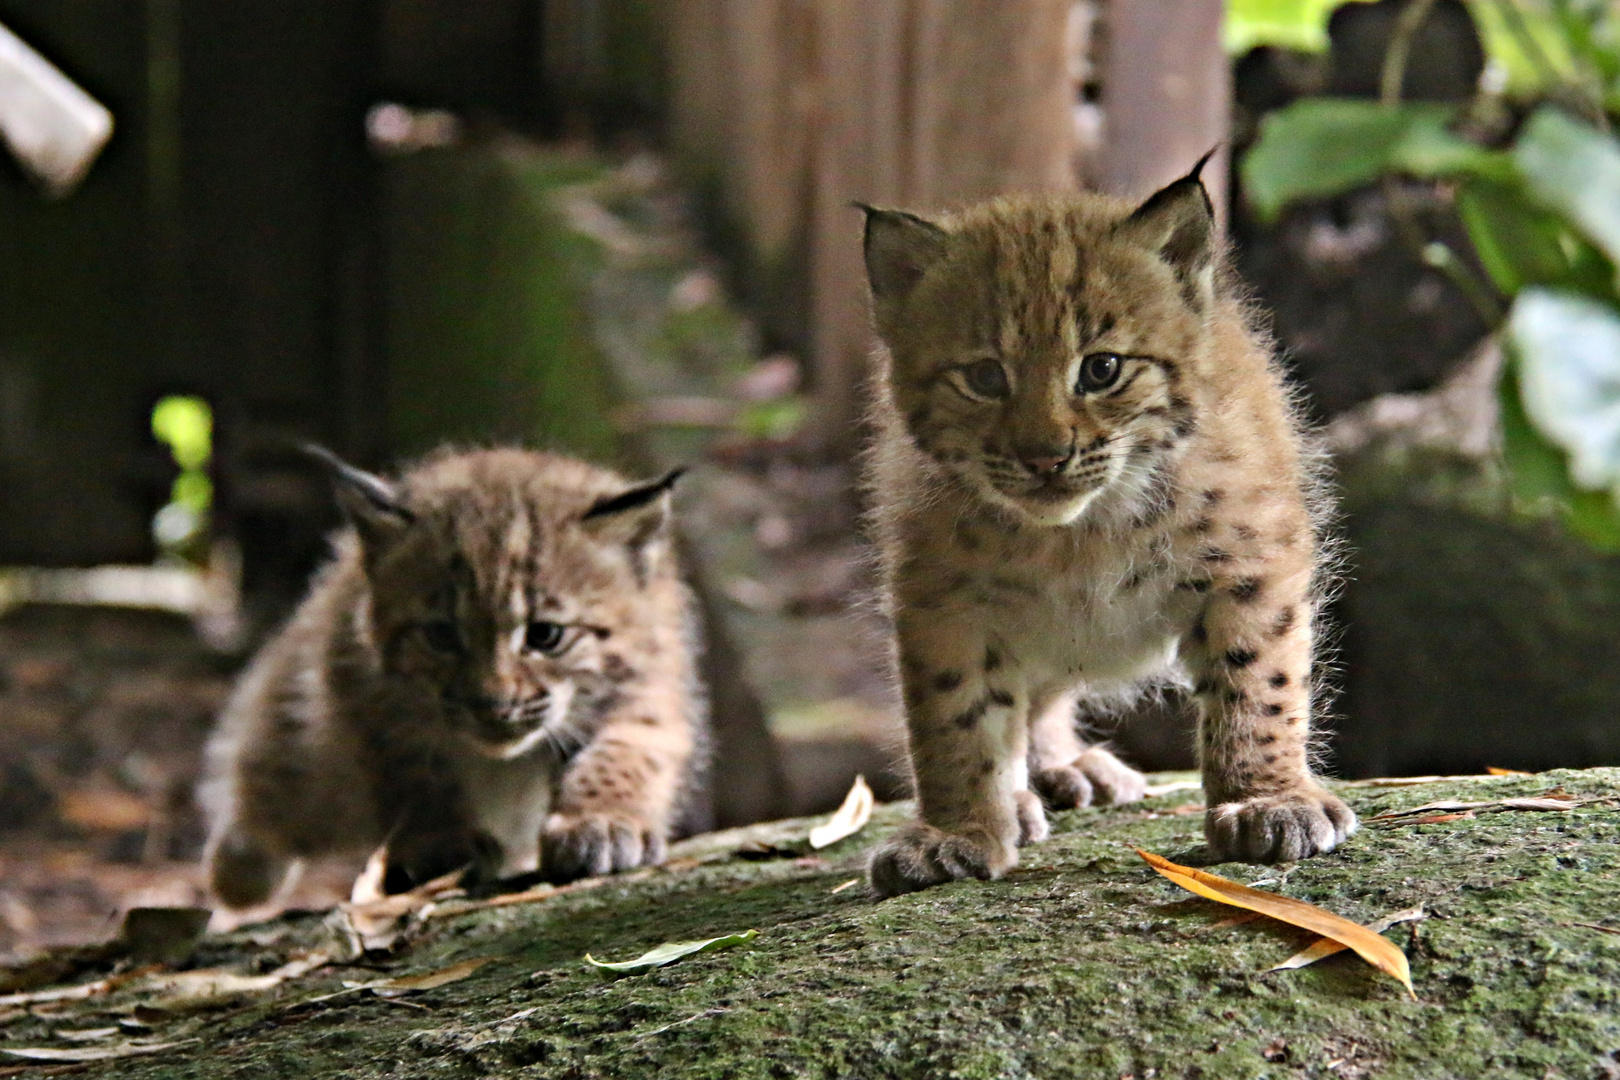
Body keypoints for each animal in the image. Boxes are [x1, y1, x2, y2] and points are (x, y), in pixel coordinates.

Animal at [199, 443, 706, 906]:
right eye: (441, 635)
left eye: (545, 635)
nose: (496, 705)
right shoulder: (371, 698)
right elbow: (418, 775)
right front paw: (442, 843)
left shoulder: (650, 686)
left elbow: (627, 752)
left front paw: (601, 822)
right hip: (311, 761)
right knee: (275, 779)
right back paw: (237, 870)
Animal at [861, 162, 1354, 906]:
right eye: (984, 377)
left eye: (1102, 369)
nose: (1044, 458)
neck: (1079, 531)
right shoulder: (944, 597)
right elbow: (956, 718)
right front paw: (959, 831)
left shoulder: (1251, 563)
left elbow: (1257, 685)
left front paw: (1267, 799)